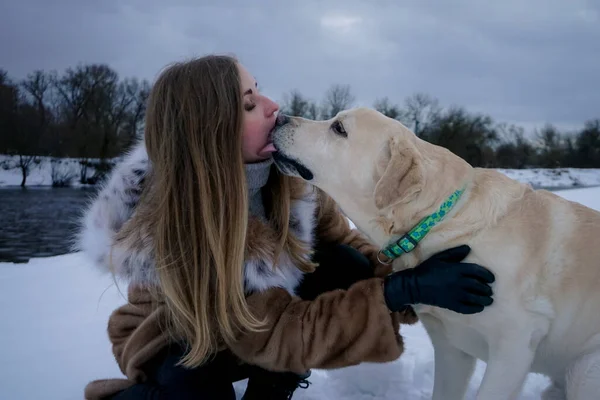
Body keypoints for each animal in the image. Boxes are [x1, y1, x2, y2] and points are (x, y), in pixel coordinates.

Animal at [270, 108, 600, 398]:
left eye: (339, 128)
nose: (279, 117)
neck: (442, 220)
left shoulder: (514, 343)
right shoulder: (450, 348)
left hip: (584, 369)